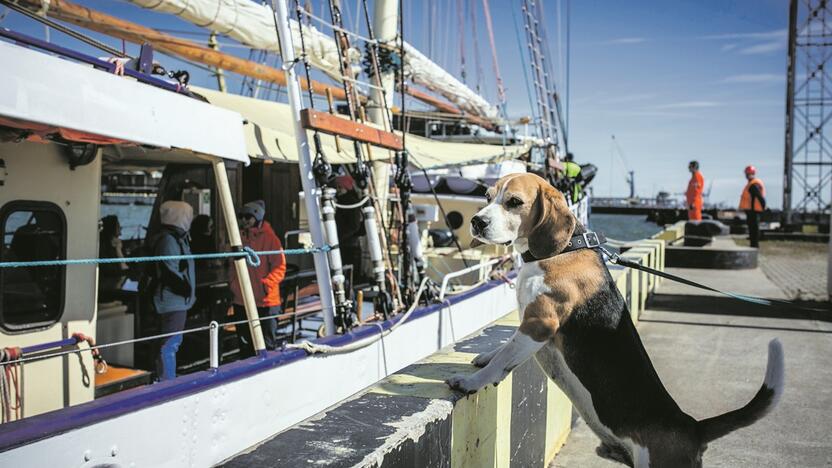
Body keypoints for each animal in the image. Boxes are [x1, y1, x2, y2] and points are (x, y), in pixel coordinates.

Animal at [446, 174, 784, 466]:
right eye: (487, 197)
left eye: (514, 202)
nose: (477, 221)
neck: (560, 251)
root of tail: (692, 427)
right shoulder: (529, 324)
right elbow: (504, 346)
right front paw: (485, 356)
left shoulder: (540, 324)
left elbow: (503, 360)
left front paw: (471, 381)